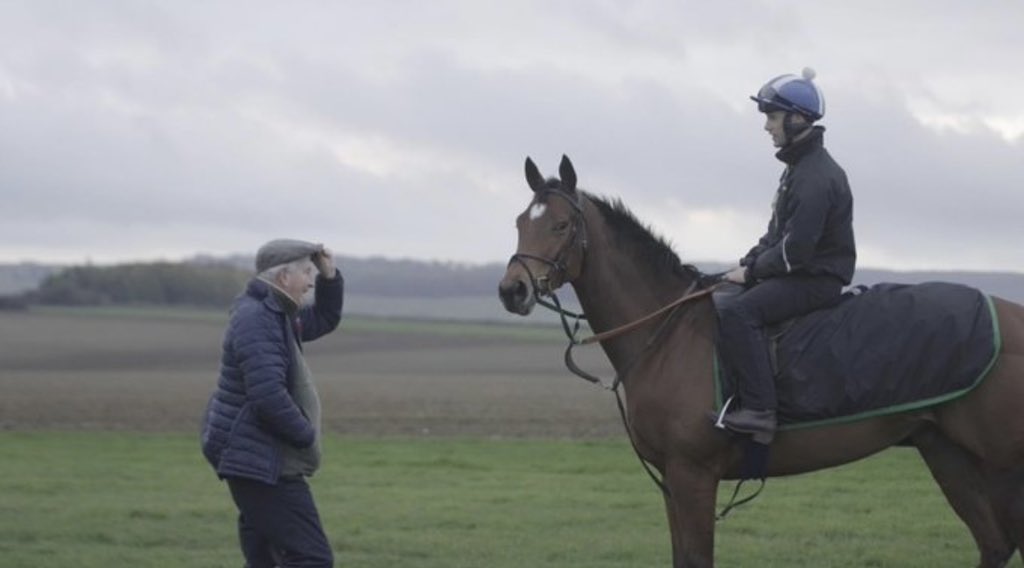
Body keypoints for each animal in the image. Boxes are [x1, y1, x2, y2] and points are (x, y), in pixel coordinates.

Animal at [499, 155, 1024, 568]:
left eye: (561, 225)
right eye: (521, 222)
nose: (511, 290)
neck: (667, 335)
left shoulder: (693, 476)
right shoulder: (671, 481)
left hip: (1000, 462)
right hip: (948, 452)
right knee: (995, 546)